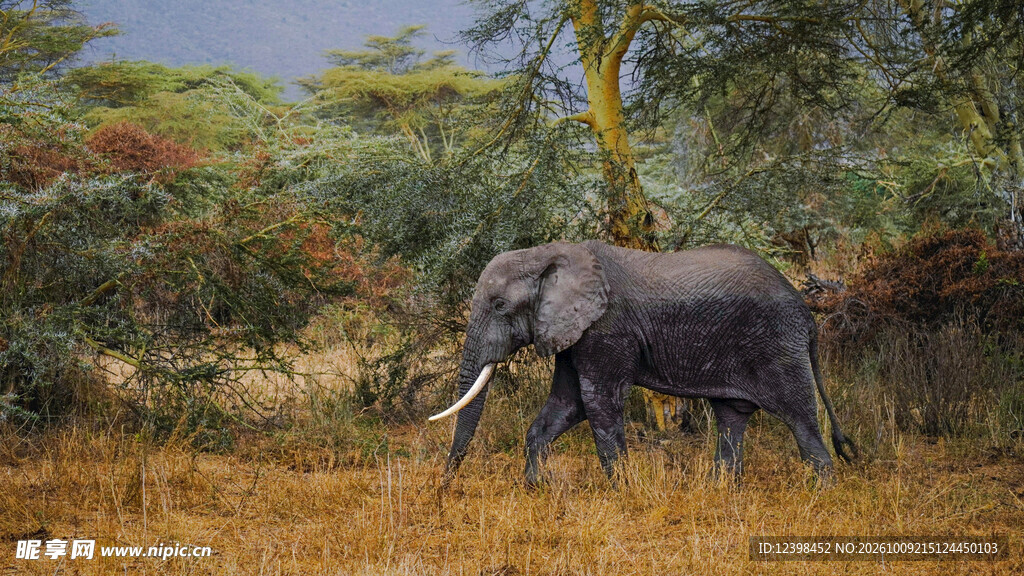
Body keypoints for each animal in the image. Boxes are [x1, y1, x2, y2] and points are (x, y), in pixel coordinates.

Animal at [430, 240, 856, 486]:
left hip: (778, 345)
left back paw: (820, 492)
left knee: (800, 417)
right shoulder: (574, 332)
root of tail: (806, 313)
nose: (446, 485)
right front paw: (537, 488)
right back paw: (721, 490)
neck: (545, 255)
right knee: (732, 416)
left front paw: (621, 492)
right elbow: (568, 403)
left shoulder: (606, 327)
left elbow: (598, 401)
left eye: (500, 305)